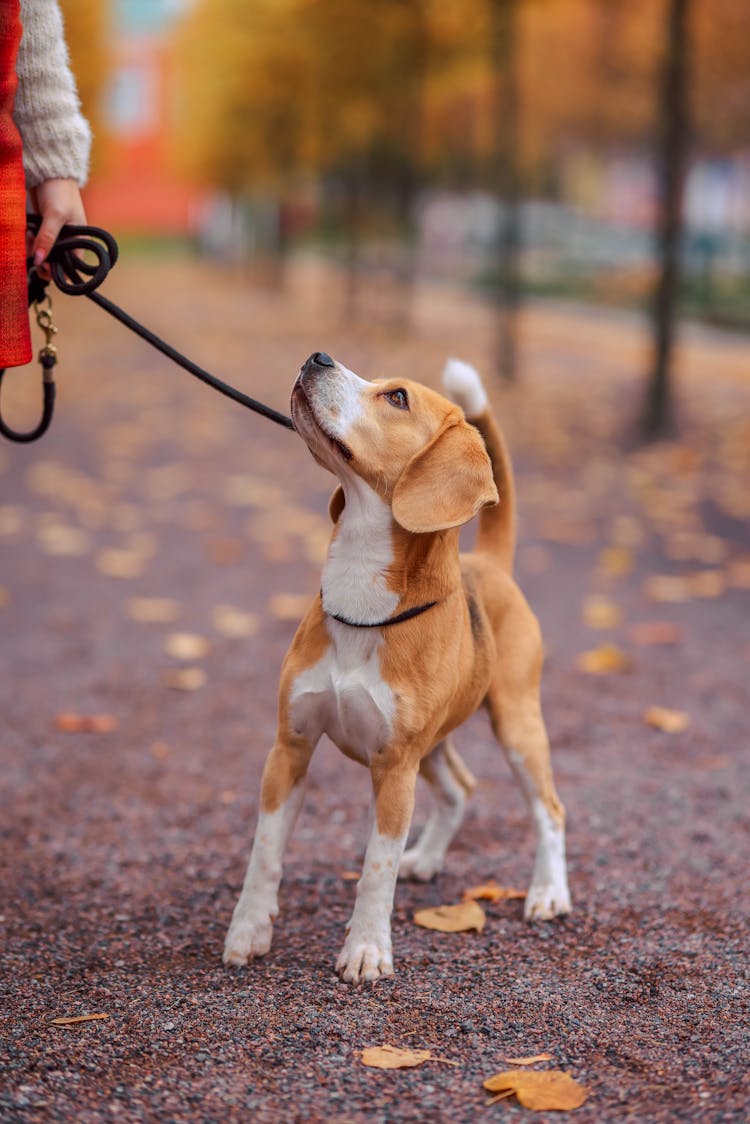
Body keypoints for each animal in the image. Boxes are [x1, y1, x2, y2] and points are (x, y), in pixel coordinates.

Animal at [226, 352, 571, 984]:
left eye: (398, 398)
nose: (317, 356)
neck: (363, 599)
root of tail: (491, 564)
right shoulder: (289, 748)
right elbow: (265, 854)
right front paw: (248, 932)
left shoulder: (394, 769)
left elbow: (375, 868)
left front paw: (365, 950)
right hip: (432, 746)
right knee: (460, 788)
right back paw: (429, 859)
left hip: (515, 728)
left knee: (550, 810)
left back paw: (548, 893)